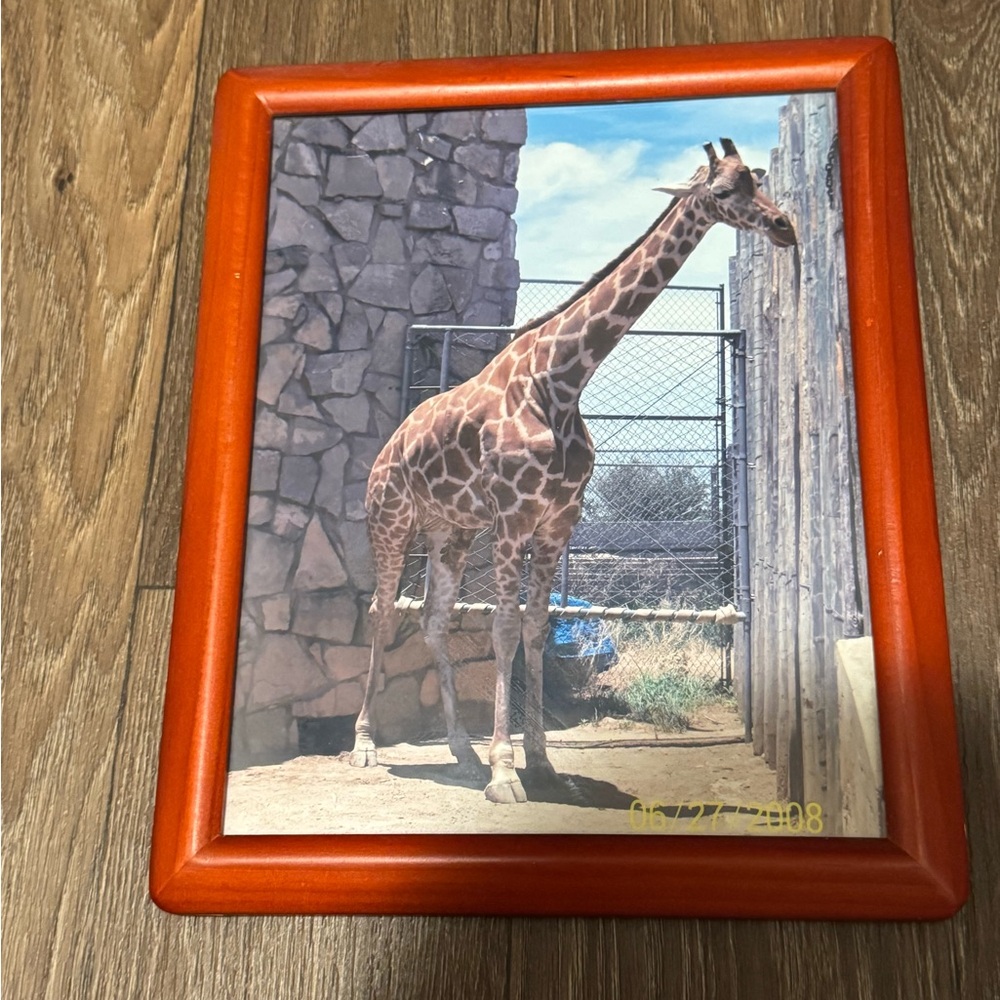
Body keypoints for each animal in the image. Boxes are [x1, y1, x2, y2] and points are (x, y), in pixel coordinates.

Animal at [350, 138, 796, 803]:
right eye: (722, 191)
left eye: (758, 182)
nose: (783, 226)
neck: (560, 379)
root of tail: (384, 452)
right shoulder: (513, 517)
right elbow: (504, 630)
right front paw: (504, 773)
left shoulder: (559, 519)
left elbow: (536, 627)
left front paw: (539, 764)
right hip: (391, 522)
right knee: (381, 613)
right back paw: (365, 747)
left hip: (450, 531)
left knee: (432, 620)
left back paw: (460, 752)